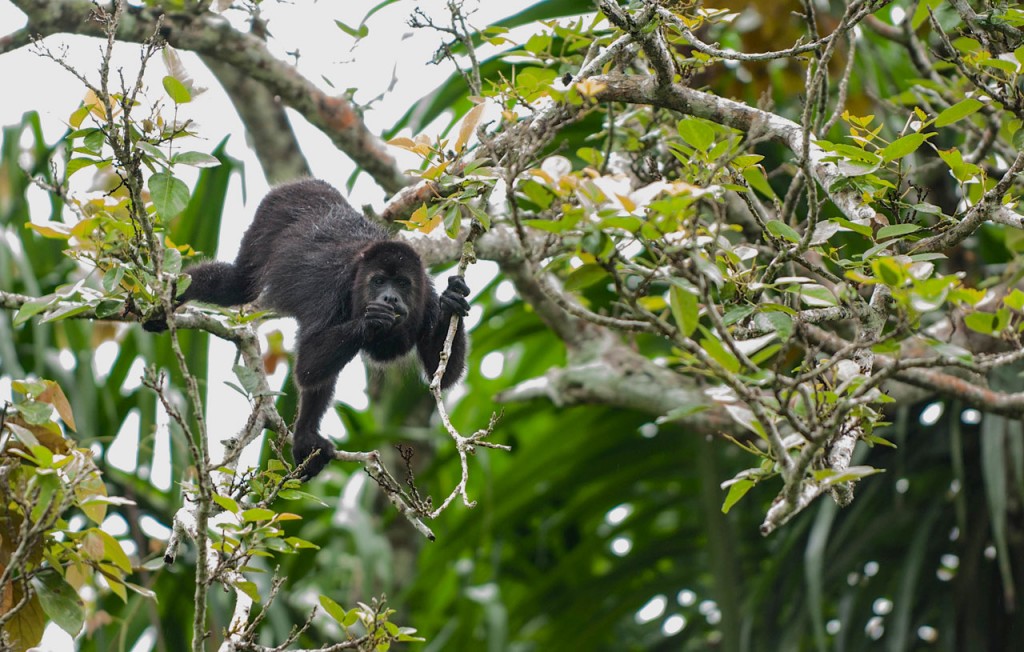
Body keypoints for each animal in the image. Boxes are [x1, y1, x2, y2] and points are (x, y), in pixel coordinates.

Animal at [145, 178, 471, 479]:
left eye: (402, 283)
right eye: (378, 281)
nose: (389, 298)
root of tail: (308, 183)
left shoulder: (426, 299)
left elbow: (441, 377)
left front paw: (452, 301)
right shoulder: (333, 292)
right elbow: (308, 366)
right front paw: (371, 320)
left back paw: (305, 438)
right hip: (270, 215)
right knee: (236, 283)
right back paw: (169, 297)